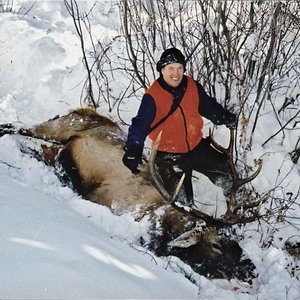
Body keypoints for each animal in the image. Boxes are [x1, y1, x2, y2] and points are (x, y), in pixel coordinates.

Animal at [0, 108, 268, 282]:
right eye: (215, 245)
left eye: (235, 240)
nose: (252, 270)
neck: (162, 225)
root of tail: (80, 108)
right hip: (57, 127)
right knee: (13, 126)